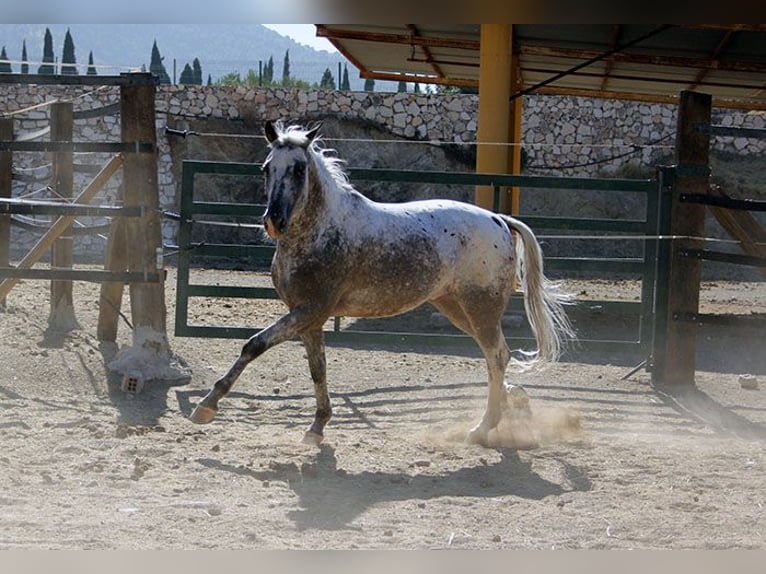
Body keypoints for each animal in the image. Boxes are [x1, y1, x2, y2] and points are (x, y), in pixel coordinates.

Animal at [192, 120, 576, 446]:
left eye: (299, 169)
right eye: (267, 167)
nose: (274, 221)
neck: (321, 231)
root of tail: (499, 219)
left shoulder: (309, 310)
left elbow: (253, 345)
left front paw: (206, 406)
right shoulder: (310, 319)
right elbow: (318, 369)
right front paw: (317, 427)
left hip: (480, 307)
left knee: (496, 356)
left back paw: (482, 428)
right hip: (455, 307)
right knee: (499, 356)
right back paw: (514, 403)